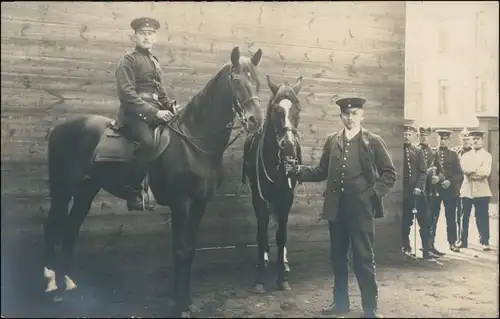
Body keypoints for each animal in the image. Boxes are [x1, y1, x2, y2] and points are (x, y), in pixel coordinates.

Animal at [42, 47, 266, 318]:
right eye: (236, 80)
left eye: (258, 81)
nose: (256, 121)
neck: (193, 143)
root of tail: (59, 129)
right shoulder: (181, 204)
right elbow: (180, 250)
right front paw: (180, 304)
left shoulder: (200, 204)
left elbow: (189, 249)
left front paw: (185, 301)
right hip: (62, 190)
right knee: (52, 227)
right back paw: (54, 289)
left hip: (86, 191)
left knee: (70, 230)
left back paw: (72, 288)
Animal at [240, 75, 302, 296]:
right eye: (276, 110)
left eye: (298, 109)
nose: (289, 145)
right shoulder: (259, 199)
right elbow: (261, 235)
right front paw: (259, 280)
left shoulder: (286, 198)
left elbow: (281, 235)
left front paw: (282, 279)